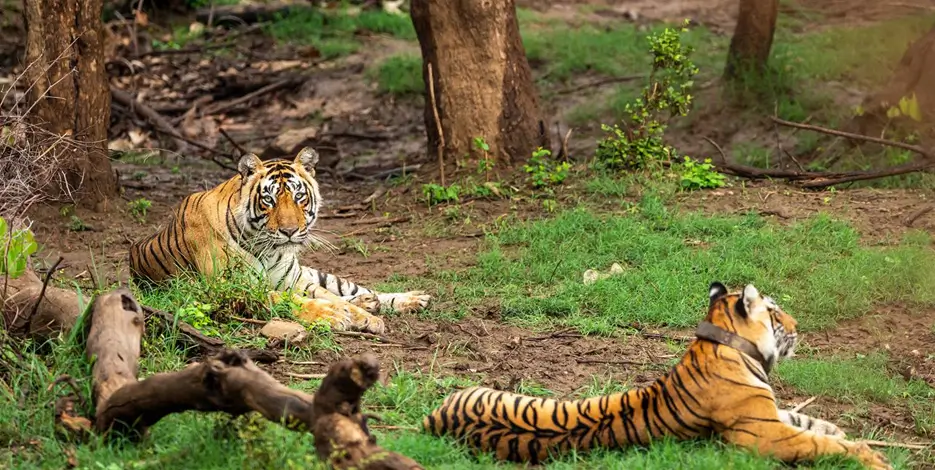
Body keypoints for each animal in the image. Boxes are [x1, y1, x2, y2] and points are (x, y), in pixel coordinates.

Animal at [128, 147, 431, 334]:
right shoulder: (234, 289)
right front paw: (334, 316)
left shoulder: (295, 281)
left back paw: (409, 299)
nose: (289, 231)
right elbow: (298, 302)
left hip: (314, 274)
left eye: (299, 197)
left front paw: (365, 317)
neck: (269, 250)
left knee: (351, 288)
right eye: (269, 199)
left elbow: (331, 297)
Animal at [422, 282, 891, 470]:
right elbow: (819, 443)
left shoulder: (771, 414)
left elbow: (812, 421)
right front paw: (872, 457)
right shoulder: (763, 433)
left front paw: (845, 432)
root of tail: (433, 419)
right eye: (775, 312)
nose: (797, 325)